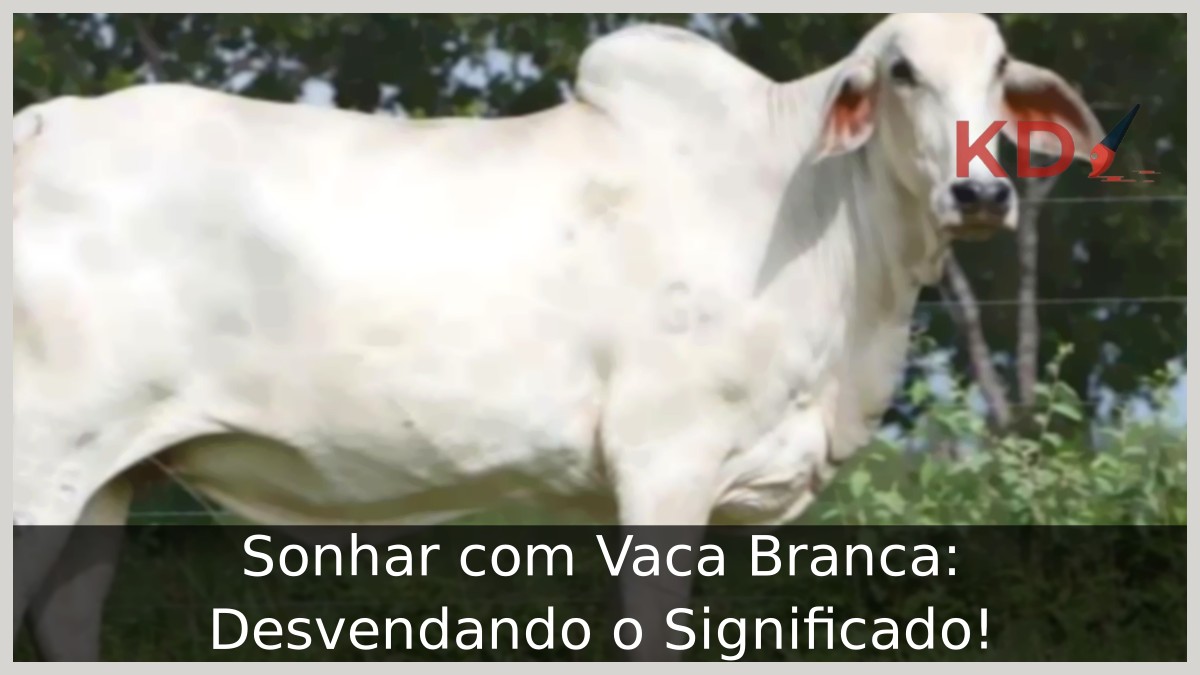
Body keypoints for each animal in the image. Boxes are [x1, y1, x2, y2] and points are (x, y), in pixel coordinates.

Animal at [13, 13, 1101, 661]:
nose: (980, 190)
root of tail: (40, 125)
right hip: (39, 464)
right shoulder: (666, 463)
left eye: (1000, 68)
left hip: (105, 475)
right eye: (903, 70)